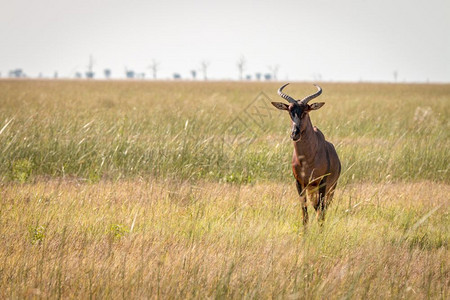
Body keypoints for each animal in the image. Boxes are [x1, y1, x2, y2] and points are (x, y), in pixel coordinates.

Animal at [270, 83, 342, 224]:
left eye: (305, 111)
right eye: (290, 112)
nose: (294, 134)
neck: (308, 159)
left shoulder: (322, 182)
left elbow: (321, 215)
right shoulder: (299, 183)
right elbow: (305, 215)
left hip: (331, 189)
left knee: (323, 209)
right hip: (311, 191)